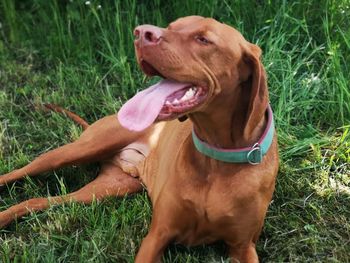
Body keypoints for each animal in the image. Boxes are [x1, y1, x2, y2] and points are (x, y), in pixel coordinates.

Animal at [0, 17, 278, 263]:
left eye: (203, 39)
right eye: (171, 25)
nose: (141, 32)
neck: (217, 158)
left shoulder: (243, 246)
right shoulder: (158, 235)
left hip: (108, 189)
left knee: (38, 201)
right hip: (75, 151)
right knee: (17, 173)